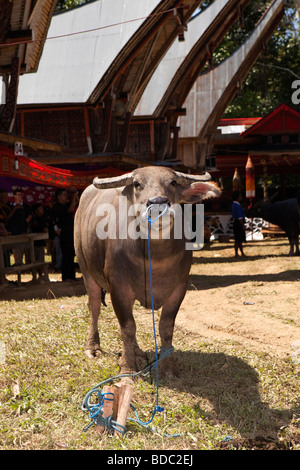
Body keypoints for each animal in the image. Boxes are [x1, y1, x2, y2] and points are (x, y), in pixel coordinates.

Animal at [74, 167, 220, 376]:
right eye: (137, 184)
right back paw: (93, 347)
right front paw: (127, 368)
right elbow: (127, 326)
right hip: (86, 268)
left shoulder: (180, 288)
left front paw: (167, 368)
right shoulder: (118, 287)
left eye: (173, 182)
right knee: (94, 306)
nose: (157, 203)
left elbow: (166, 327)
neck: (155, 259)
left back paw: (138, 352)